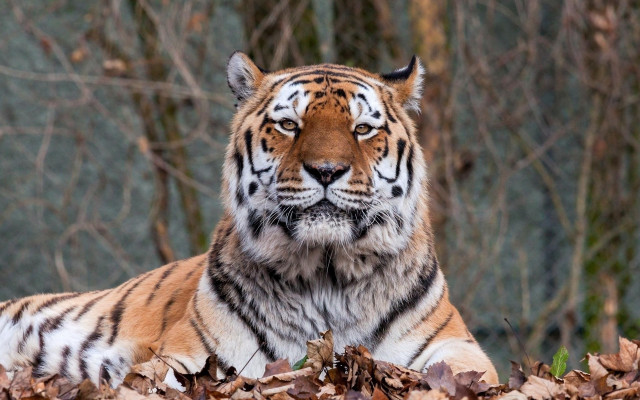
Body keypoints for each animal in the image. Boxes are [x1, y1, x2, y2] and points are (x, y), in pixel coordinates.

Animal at [0, 51, 499, 387]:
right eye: (289, 125)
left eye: (362, 129)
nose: (326, 170)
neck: (328, 273)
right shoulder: (190, 356)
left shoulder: (455, 346)